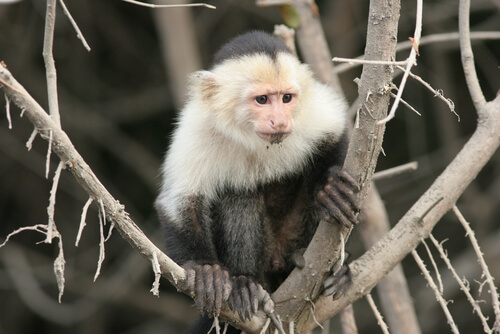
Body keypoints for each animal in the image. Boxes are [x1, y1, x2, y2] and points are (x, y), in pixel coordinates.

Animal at [156, 30, 360, 332]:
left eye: (286, 98)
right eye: (262, 100)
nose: (279, 120)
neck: (251, 136)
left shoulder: (313, 110)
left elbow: (334, 137)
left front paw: (330, 189)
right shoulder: (197, 128)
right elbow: (181, 201)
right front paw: (205, 269)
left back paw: (319, 265)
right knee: (238, 191)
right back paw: (246, 283)